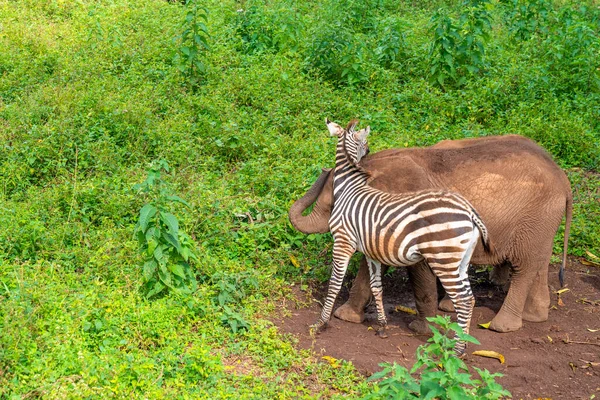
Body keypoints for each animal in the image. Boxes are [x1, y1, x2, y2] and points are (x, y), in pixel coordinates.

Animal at [290, 133, 572, 332]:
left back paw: (501, 327)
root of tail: (563, 177)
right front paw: (347, 317)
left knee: (524, 267)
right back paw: (534, 316)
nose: (324, 169)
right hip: (541, 221)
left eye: (334, 202)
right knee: (537, 262)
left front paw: (421, 329)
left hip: (535, 217)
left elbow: (418, 266)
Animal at [310, 118, 492, 354]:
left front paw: (321, 322)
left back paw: (457, 350)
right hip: (460, 260)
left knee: (462, 300)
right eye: (365, 145)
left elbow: (335, 282)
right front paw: (382, 326)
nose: (367, 152)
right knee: (469, 298)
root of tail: (468, 210)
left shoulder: (343, 241)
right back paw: (463, 344)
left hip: (443, 259)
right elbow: (376, 287)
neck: (350, 189)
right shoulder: (371, 251)